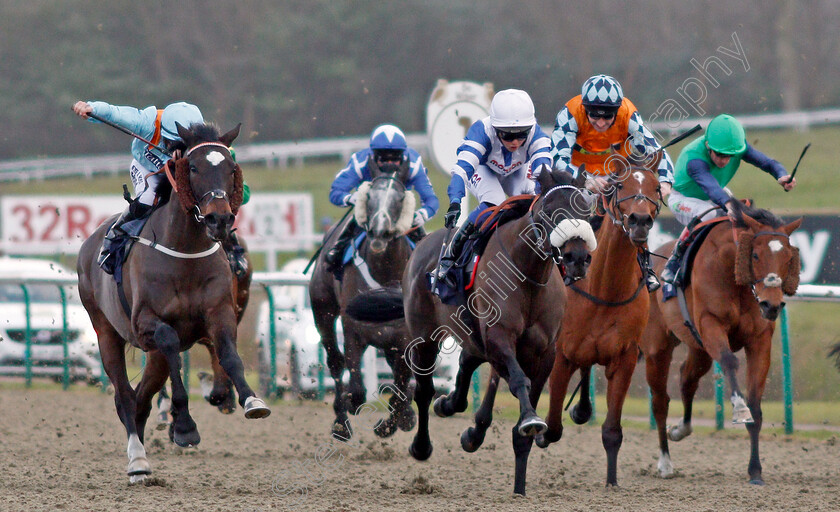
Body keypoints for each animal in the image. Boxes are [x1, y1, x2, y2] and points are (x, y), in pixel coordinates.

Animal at [77, 122, 270, 482]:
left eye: (230, 167)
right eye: (192, 168)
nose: (219, 220)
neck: (185, 252)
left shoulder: (221, 312)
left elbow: (229, 355)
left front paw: (250, 400)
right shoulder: (146, 323)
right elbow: (171, 347)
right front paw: (184, 426)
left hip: (153, 356)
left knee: (142, 398)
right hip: (106, 331)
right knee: (124, 396)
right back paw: (138, 460)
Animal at [536, 156, 668, 488]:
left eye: (656, 187)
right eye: (619, 185)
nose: (639, 220)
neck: (604, 288)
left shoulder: (625, 357)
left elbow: (612, 431)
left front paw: (612, 482)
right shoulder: (562, 355)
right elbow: (553, 426)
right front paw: (540, 433)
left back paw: (582, 409)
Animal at [640, 204, 804, 484]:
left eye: (788, 259)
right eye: (755, 255)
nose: (771, 306)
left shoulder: (759, 340)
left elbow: (756, 409)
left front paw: (755, 470)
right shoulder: (711, 324)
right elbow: (729, 361)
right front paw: (738, 408)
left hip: (699, 349)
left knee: (687, 379)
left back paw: (680, 429)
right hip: (657, 347)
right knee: (660, 401)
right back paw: (665, 463)